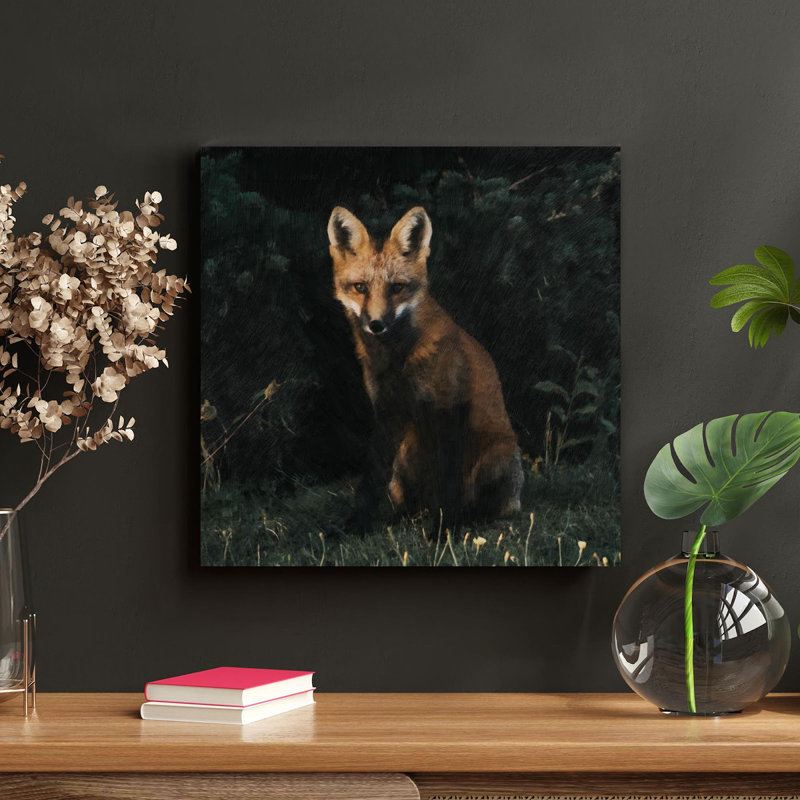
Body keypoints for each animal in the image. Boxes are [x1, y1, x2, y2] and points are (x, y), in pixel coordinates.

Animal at [328, 205, 523, 532]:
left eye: (397, 287)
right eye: (360, 287)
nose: (376, 325)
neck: (397, 360)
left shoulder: (448, 408)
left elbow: (449, 481)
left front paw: (444, 531)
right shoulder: (386, 412)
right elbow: (370, 479)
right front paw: (357, 525)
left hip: (495, 458)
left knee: (488, 507)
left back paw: (467, 519)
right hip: (402, 466)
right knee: (409, 503)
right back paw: (407, 518)